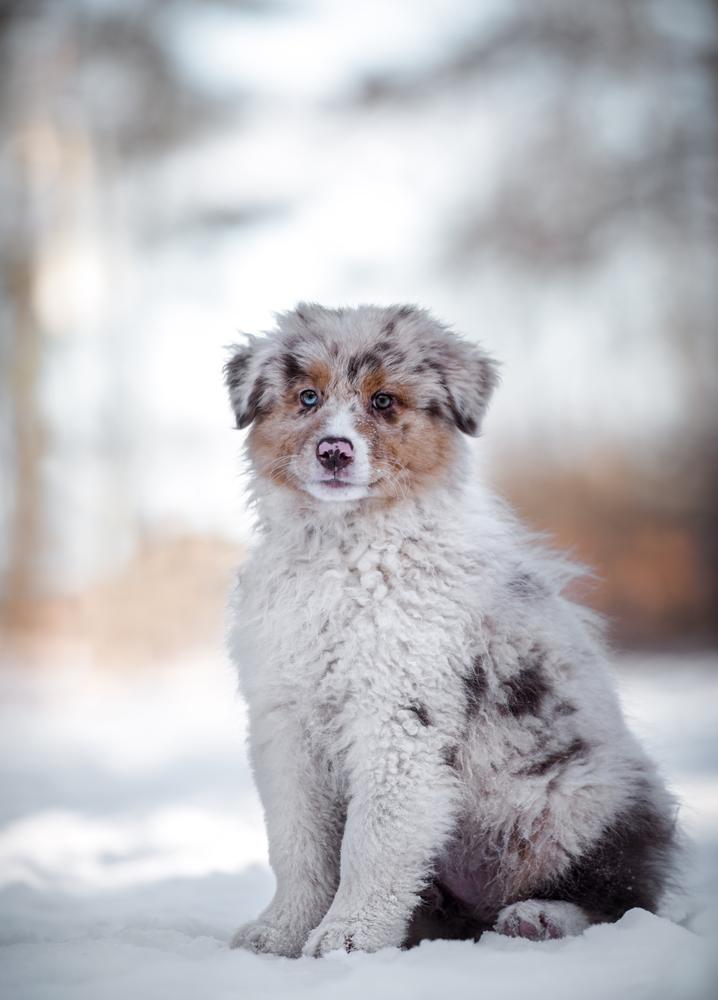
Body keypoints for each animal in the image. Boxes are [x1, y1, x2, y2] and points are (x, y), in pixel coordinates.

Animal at [225, 300, 680, 956]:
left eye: (384, 401)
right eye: (307, 397)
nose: (334, 451)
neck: (346, 551)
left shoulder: (399, 716)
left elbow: (375, 840)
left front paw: (349, 937)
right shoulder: (286, 720)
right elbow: (299, 844)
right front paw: (280, 932)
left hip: (578, 800)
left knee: (622, 893)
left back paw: (540, 917)